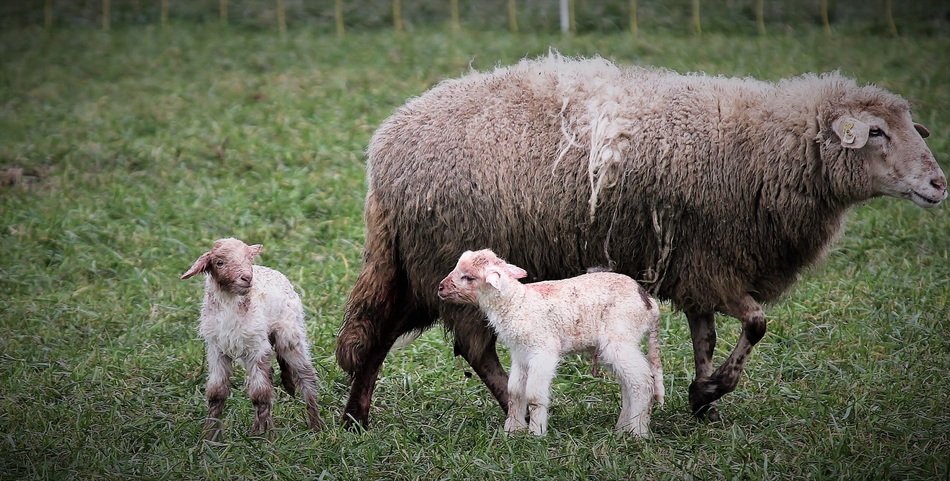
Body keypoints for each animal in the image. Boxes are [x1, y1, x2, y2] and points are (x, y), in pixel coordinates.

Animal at [181, 238, 323, 438]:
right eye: (219, 262)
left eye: (249, 259)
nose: (247, 277)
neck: (231, 304)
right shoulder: (217, 349)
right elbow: (216, 393)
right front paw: (209, 436)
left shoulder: (257, 348)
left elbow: (259, 394)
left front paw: (261, 438)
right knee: (270, 376)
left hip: (289, 335)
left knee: (306, 376)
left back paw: (316, 426)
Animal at [438, 249, 664, 437]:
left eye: (468, 277)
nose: (440, 287)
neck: (516, 302)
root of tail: (649, 304)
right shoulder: (520, 354)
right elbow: (514, 392)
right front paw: (513, 430)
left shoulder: (543, 351)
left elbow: (533, 394)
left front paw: (536, 433)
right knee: (629, 383)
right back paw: (622, 429)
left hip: (620, 337)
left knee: (643, 381)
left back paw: (638, 433)